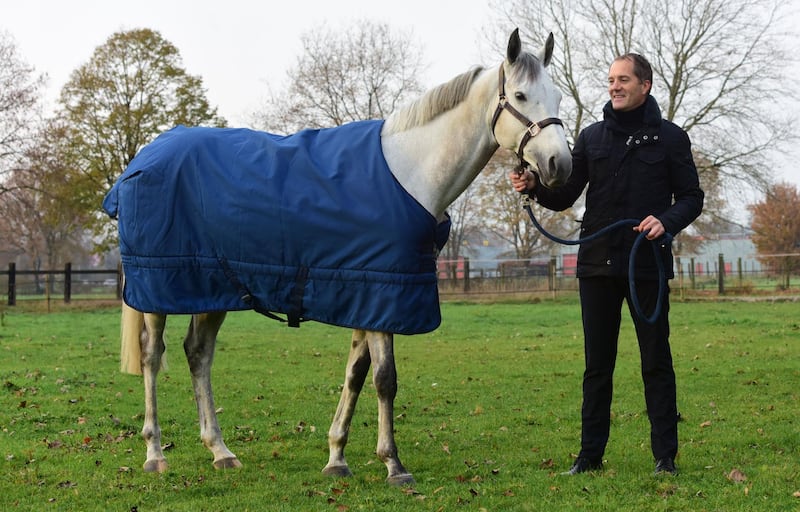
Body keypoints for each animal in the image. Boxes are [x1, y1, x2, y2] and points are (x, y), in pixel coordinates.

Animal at [115, 30, 572, 486]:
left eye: (558, 96)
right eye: (520, 94)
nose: (559, 165)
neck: (409, 173)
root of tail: (143, 158)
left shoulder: (365, 291)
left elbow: (356, 373)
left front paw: (337, 457)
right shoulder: (382, 293)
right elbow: (385, 379)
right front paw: (393, 464)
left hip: (213, 287)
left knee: (198, 353)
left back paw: (220, 450)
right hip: (158, 290)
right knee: (152, 356)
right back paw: (155, 453)